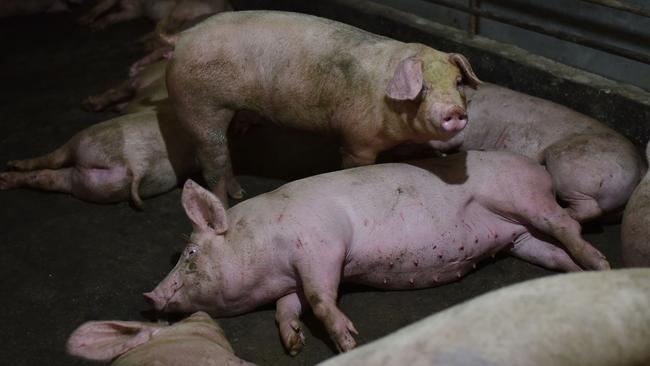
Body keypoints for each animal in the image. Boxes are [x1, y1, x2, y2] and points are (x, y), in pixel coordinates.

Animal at [143, 150, 608, 354]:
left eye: (190, 252)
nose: (150, 296)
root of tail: (539, 168)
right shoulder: (293, 276)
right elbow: (286, 306)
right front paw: (293, 344)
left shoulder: (322, 246)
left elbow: (320, 297)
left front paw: (348, 342)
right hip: (521, 239)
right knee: (555, 249)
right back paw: (582, 274)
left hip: (523, 198)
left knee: (567, 223)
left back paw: (600, 263)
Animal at [166, 10, 480, 203]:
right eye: (423, 89)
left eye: (458, 83)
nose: (455, 112)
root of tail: (181, 38)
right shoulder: (357, 140)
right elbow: (353, 163)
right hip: (200, 107)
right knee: (213, 163)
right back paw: (228, 201)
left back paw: (239, 193)